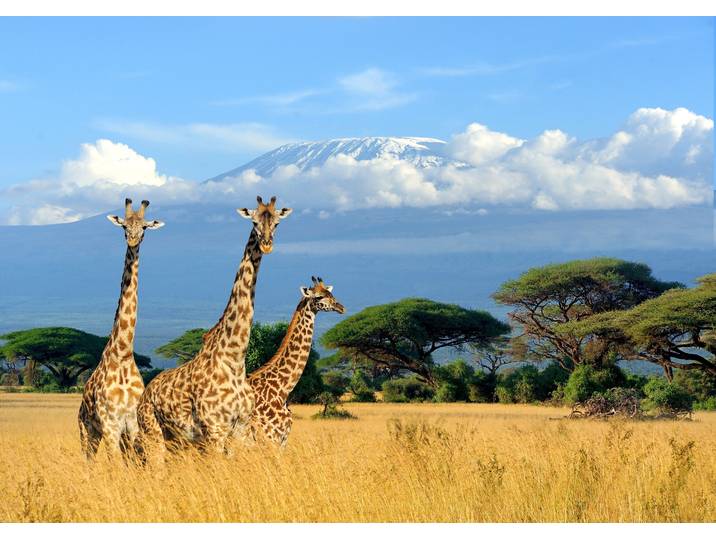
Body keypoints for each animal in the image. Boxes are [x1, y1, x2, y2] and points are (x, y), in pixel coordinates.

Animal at [78, 198, 164, 460]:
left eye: (144, 227)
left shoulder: (133, 425)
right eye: (124, 226)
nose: (133, 240)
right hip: (87, 432)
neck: (123, 353)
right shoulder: (110, 425)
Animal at [136, 195, 292, 460]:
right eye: (254, 221)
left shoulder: (240, 429)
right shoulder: (215, 430)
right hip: (153, 433)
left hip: (177, 440)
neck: (235, 359)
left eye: (277, 223)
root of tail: (145, 393)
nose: (267, 245)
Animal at [248, 276, 345, 447]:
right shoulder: (270, 437)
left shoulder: (282, 440)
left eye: (331, 294)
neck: (282, 389)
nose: (340, 307)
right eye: (318, 297)